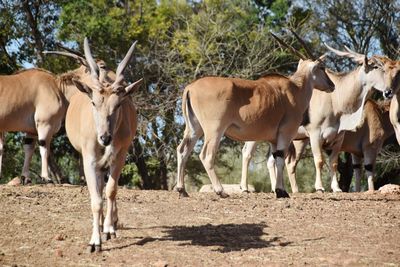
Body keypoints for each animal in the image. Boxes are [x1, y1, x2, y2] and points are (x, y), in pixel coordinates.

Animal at [65, 37, 141, 253]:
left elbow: (111, 191)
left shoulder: (120, 156)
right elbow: (96, 200)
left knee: (108, 190)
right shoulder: (89, 159)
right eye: (94, 103)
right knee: (98, 189)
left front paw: (108, 229)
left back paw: (111, 222)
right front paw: (94, 241)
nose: (105, 138)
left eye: (118, 104)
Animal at [175, 33, 334, 199]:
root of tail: (190, 88)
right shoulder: (285, 133)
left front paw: (279, 190)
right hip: (214, 130)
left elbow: (275, 159)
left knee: (182, 150)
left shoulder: (273, 139)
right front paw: (281, 191)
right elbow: (280, 159)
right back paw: (220, 190)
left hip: (194, 129)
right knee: (206, 155)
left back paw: (182, 189)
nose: (332, 85)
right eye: (322, 68)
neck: (295, 89)